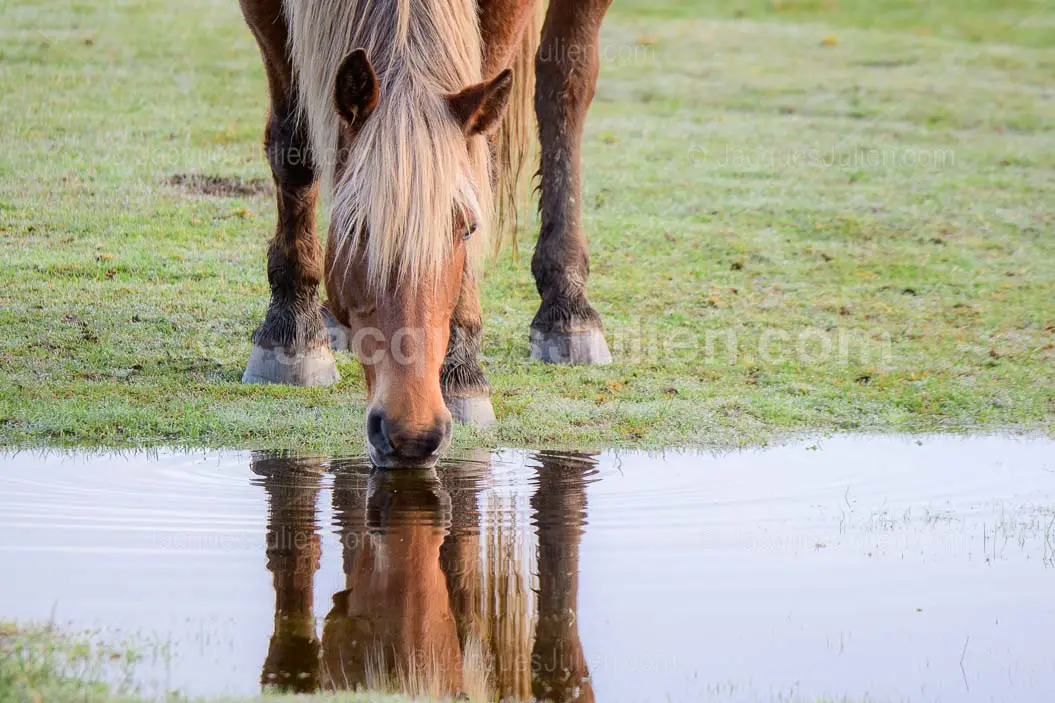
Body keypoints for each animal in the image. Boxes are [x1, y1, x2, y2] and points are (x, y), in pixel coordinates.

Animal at [238, 0, 613, 467]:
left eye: (468, 229)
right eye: (353, 226)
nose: (412, 433)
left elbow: (482, 151)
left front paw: (462, 371)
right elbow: (294, 144)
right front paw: (291, 329)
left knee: (564, 87)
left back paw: (568, 309)